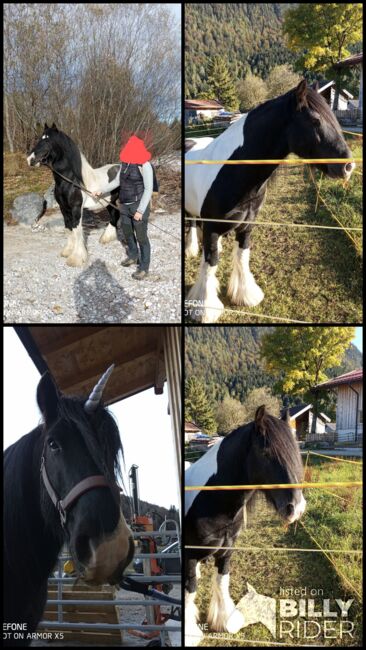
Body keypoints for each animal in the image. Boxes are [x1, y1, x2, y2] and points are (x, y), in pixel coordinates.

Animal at [27, 124, 121, 266]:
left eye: (48, 140)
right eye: (39, 139)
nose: (30, 159)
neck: (72, 181)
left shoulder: (76, 208)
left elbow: (77, 230)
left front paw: (76, 258)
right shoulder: (64, 208)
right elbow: (68, 228)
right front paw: (67, 251)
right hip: (110, 202)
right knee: (115, 215)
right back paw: (106, 238)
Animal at [184, 82, 356, 320]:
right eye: (315, 121)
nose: (348, 166)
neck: (233, 172)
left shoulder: (247, 226)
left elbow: (242, 256)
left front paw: (245, 295)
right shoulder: (212, 227)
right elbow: (210, 264)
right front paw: (204, 309)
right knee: (192, 223)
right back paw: (191, 249)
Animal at [184, 404, 308, 644]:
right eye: (265, 453)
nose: (295, 508)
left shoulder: (227, 548)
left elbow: (221, 581)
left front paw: (226, 620)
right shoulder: (189, 555)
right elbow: (189, 591)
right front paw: (189, 633)